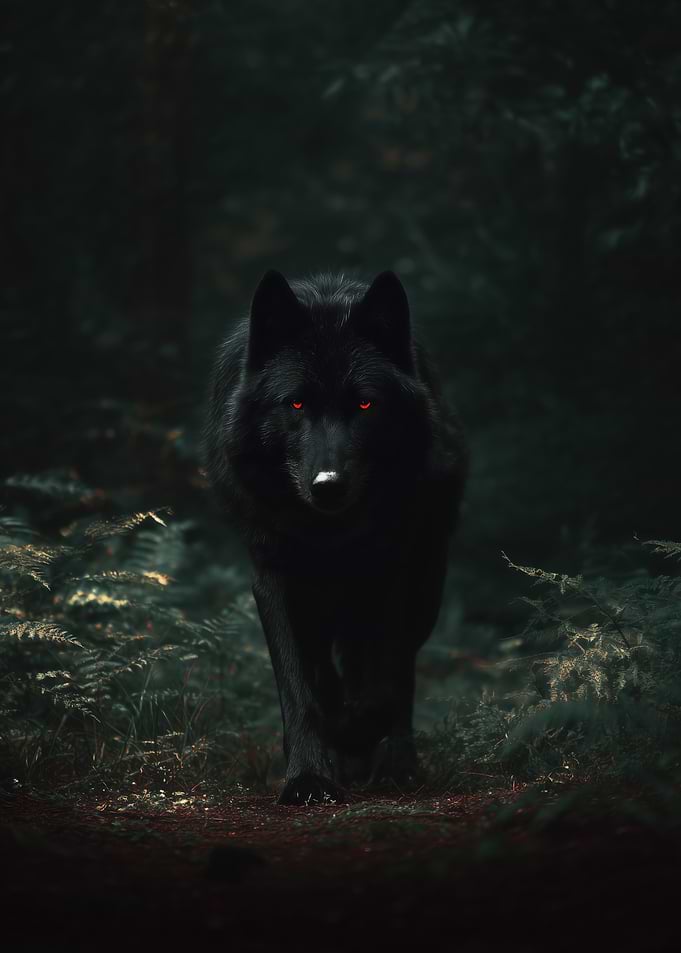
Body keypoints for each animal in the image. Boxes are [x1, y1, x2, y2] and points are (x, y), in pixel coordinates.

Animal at [204, 270, 467, 804]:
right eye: (296, 402)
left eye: (365, 403)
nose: (328, 485)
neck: (333, 535)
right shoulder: (274, 577)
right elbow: (300, 687)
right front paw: (309, 776)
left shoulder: (398, 573)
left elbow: (385, 683)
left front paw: (353, 737)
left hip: (425, 588)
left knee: (398, 676)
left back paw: (394, 765)